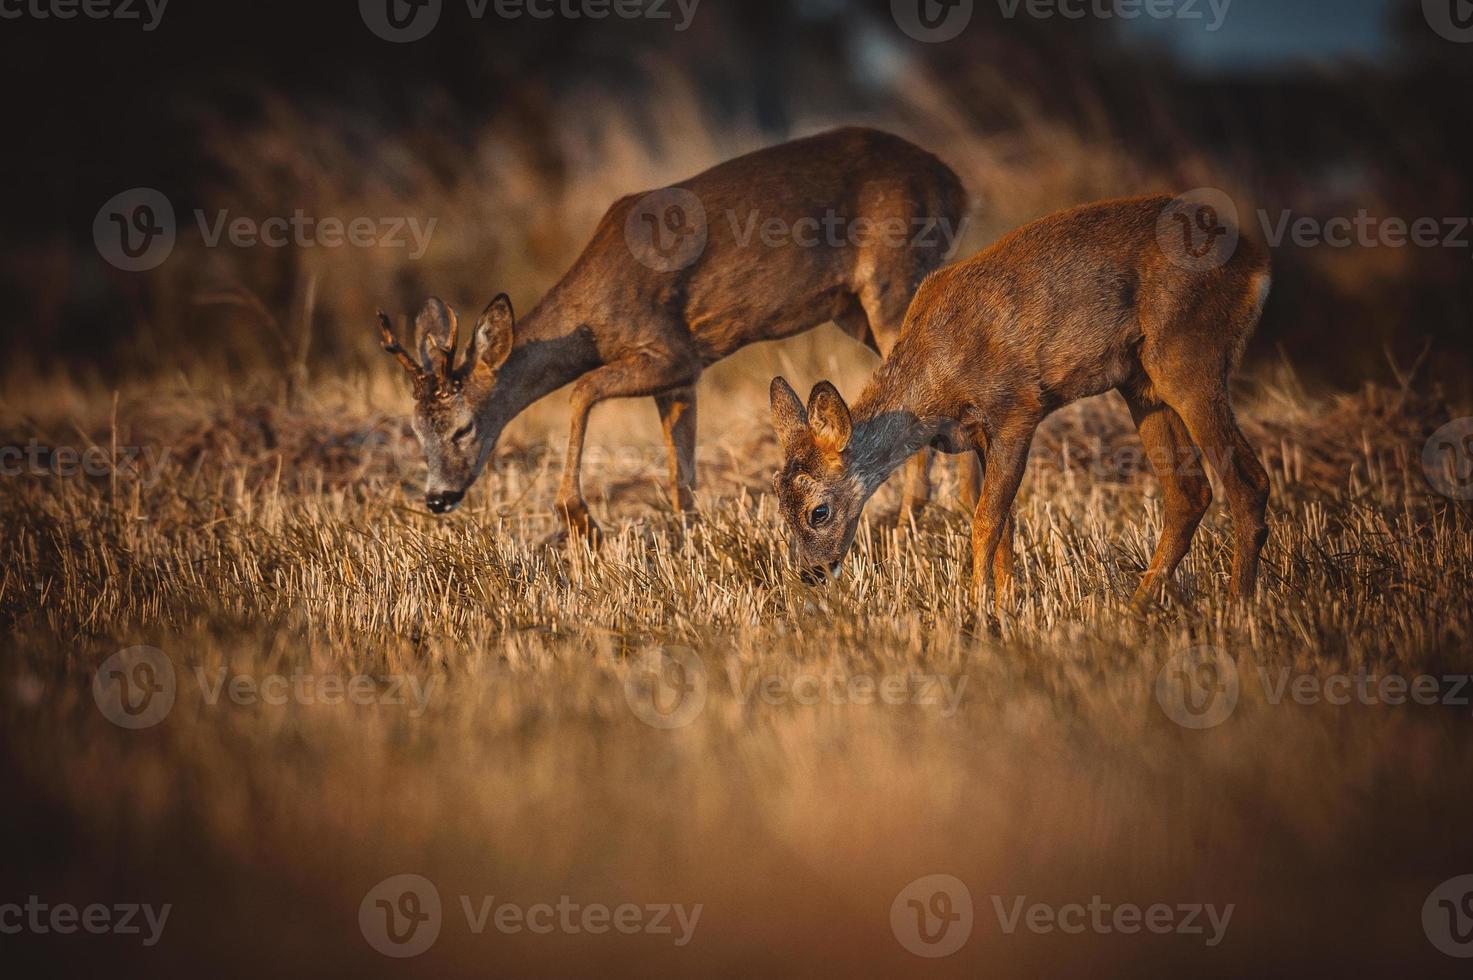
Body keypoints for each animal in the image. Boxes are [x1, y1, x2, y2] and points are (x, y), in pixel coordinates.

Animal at [380, 125, 972, 536]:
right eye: (415, 431)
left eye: (463, 428)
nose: (437, 498)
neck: (595, 321)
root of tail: (956, 184)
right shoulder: (681, 380)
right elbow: (680, 471)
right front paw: (690, 535)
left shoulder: (671, 351)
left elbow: (580, 391)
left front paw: (579, 520)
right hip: (852, 307)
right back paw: (957, 504)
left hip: (893, 275)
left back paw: (914, 514)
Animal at [777, 194, 1272, 601]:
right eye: (781, 509)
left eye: (819, 511)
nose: (810, 574)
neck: (935, 383)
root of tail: (1256, 264)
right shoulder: (978, 434)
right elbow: (1005, 525)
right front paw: (1005, 610)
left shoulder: (1016, 408)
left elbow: (984, 521)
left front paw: (975, 611)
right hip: (1141, 383)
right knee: (1190, 492)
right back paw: (1137, 610)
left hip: (1187, 354)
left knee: (1249, 482)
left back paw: (1237, 610)